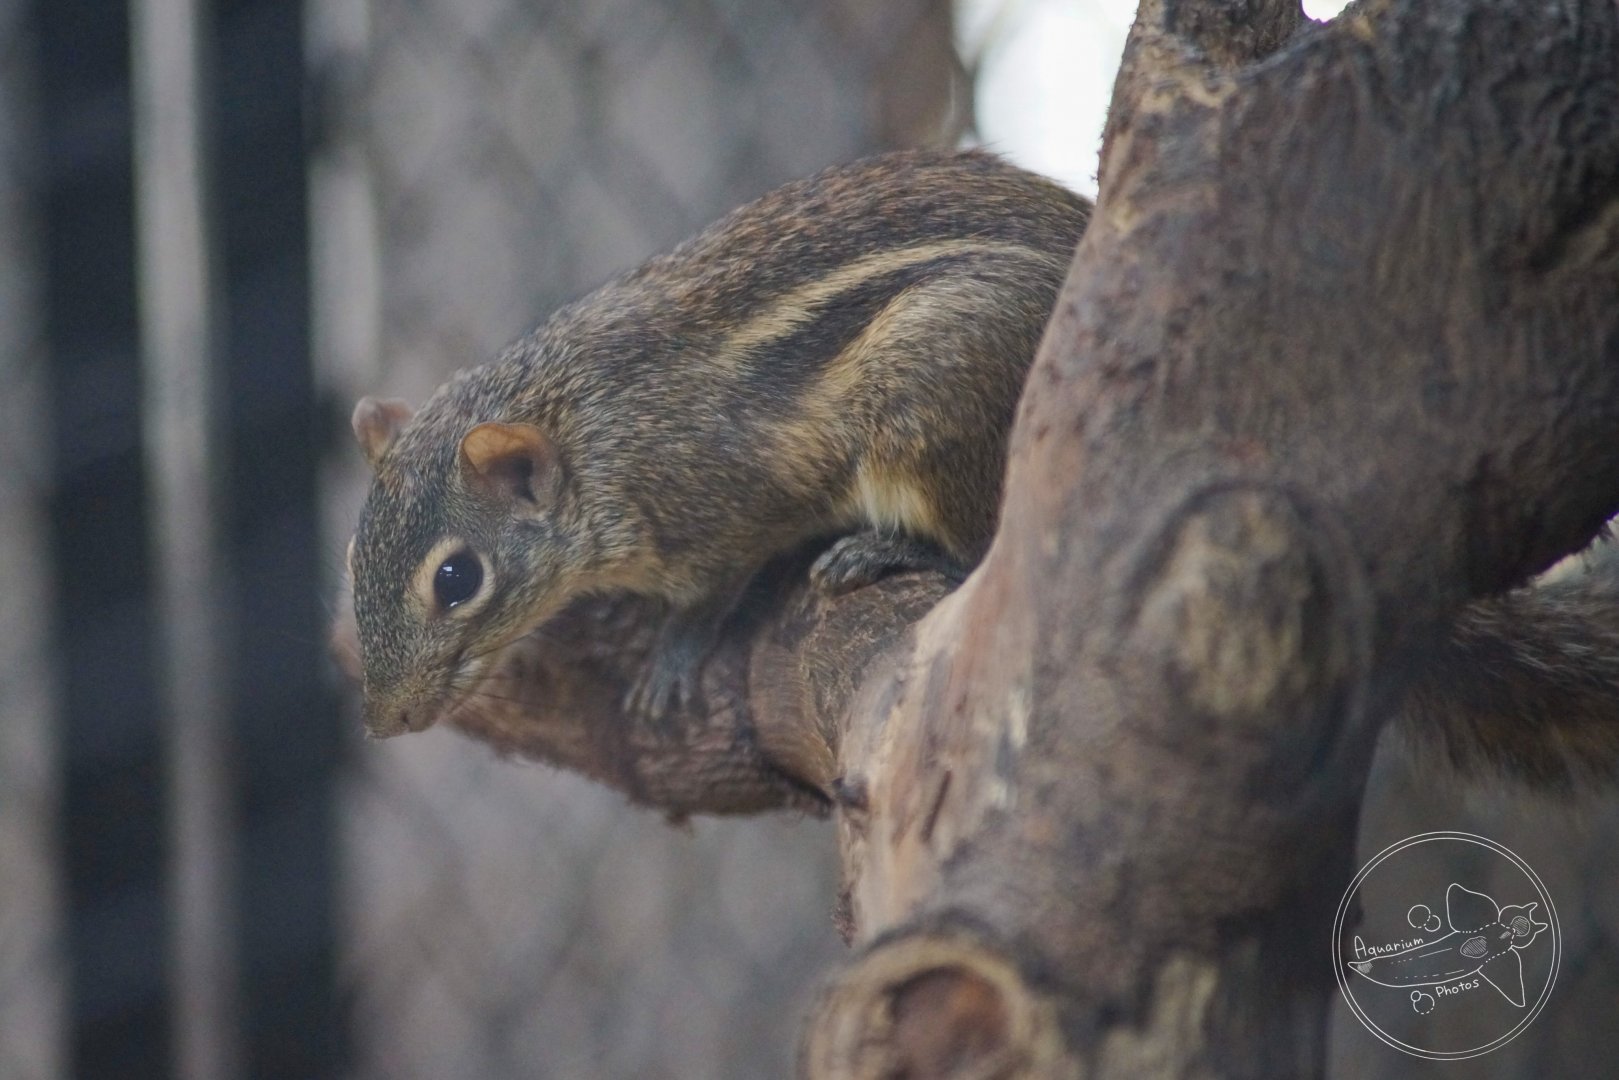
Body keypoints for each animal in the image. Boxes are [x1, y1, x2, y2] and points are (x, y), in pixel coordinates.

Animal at [346, 149, 1091, 736]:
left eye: (456, 579)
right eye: (352, 557)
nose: (384, 722)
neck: (587, 432)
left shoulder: (724, 507)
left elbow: (711, 590)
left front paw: (672, 657)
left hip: (932, 395)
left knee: (976, 547)